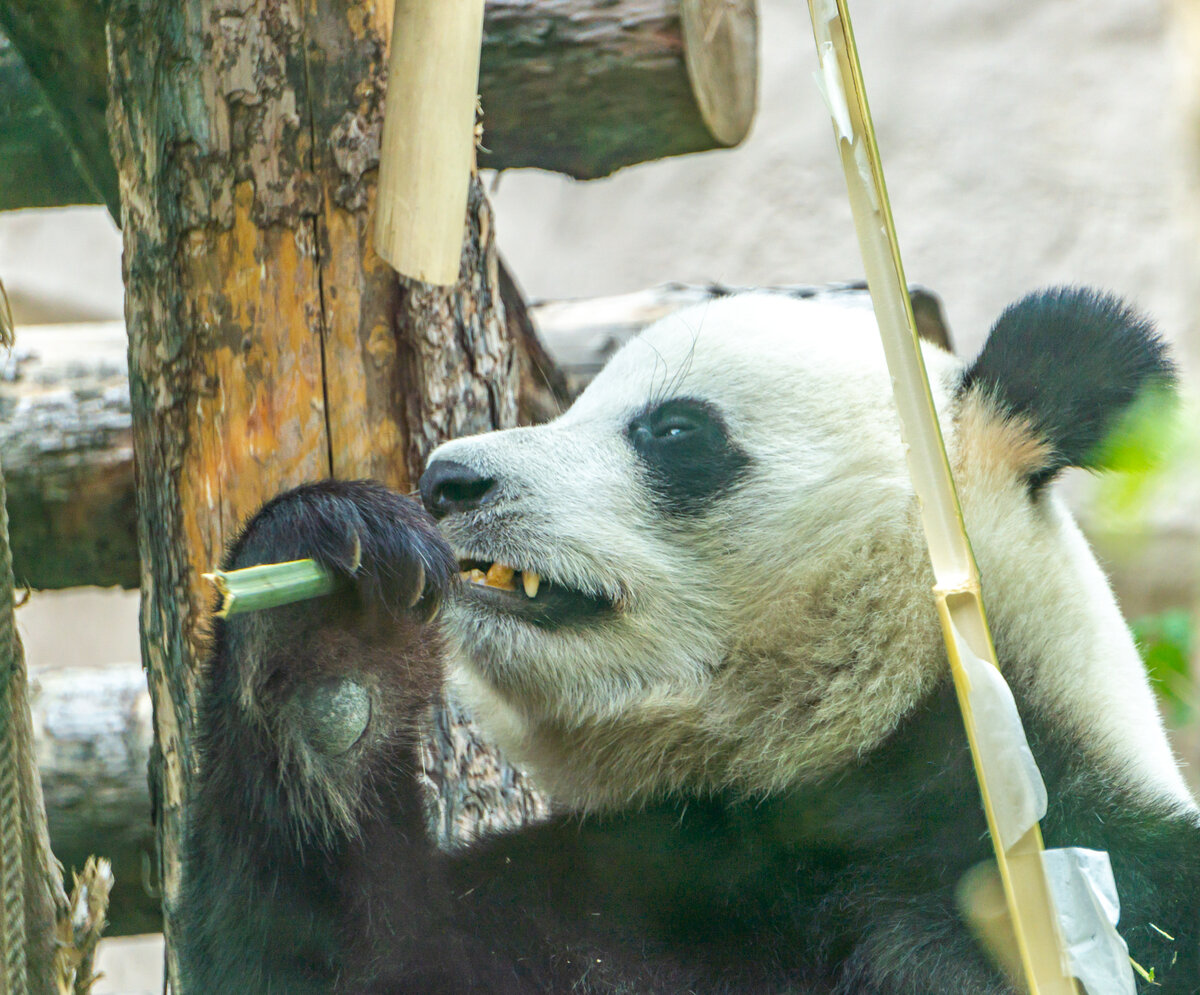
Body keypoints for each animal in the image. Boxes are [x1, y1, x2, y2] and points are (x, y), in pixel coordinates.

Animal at [177, 283, 1200, 988]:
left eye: (673, 429)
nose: (447, 480)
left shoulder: (1085, 863)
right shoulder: (617, 884)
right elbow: (326, 958)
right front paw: (328, 621)